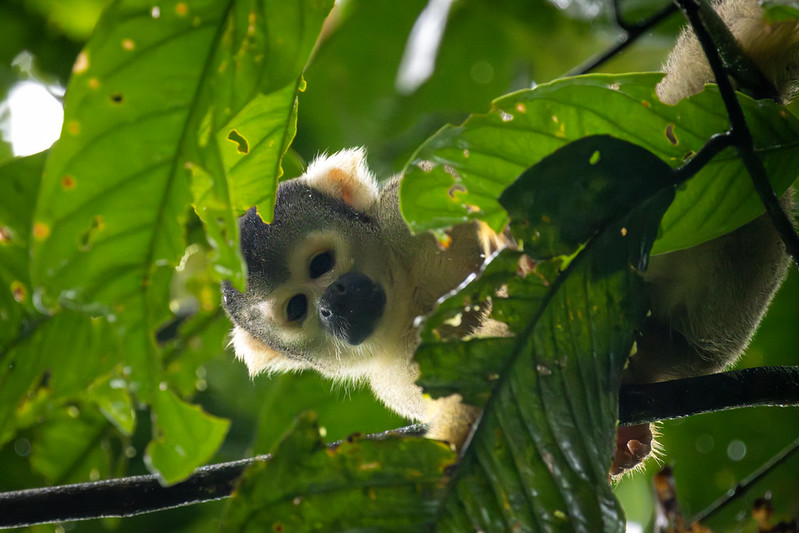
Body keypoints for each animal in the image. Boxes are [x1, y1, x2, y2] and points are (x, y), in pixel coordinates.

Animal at [222, 0, 797, 474]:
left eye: (321, 265)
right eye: (297, 308)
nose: (332, 302)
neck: (406, 287)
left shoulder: (406, 208)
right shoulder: (395, 373)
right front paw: (622, 437)